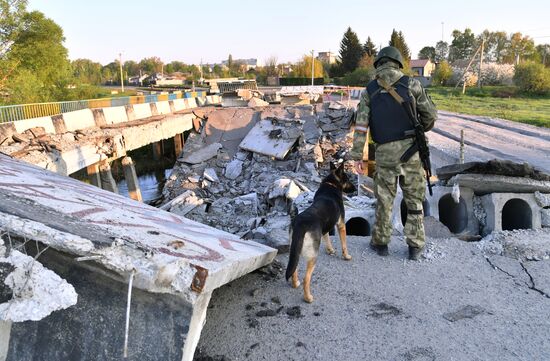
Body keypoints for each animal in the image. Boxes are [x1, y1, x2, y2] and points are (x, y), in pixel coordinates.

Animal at [286, 162, 360, 302]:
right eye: (347, 179)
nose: (355, 189)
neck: (331, 184)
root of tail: (300, 225)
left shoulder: (327, 226)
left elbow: (327, 237)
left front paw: (330, 250)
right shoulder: (341, 225)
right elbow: (344, 244)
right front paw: (346, 256)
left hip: (294, 249)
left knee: (294, 267)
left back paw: (295, 283)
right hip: (313, 256)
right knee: (306, 278)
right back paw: (308, 297)